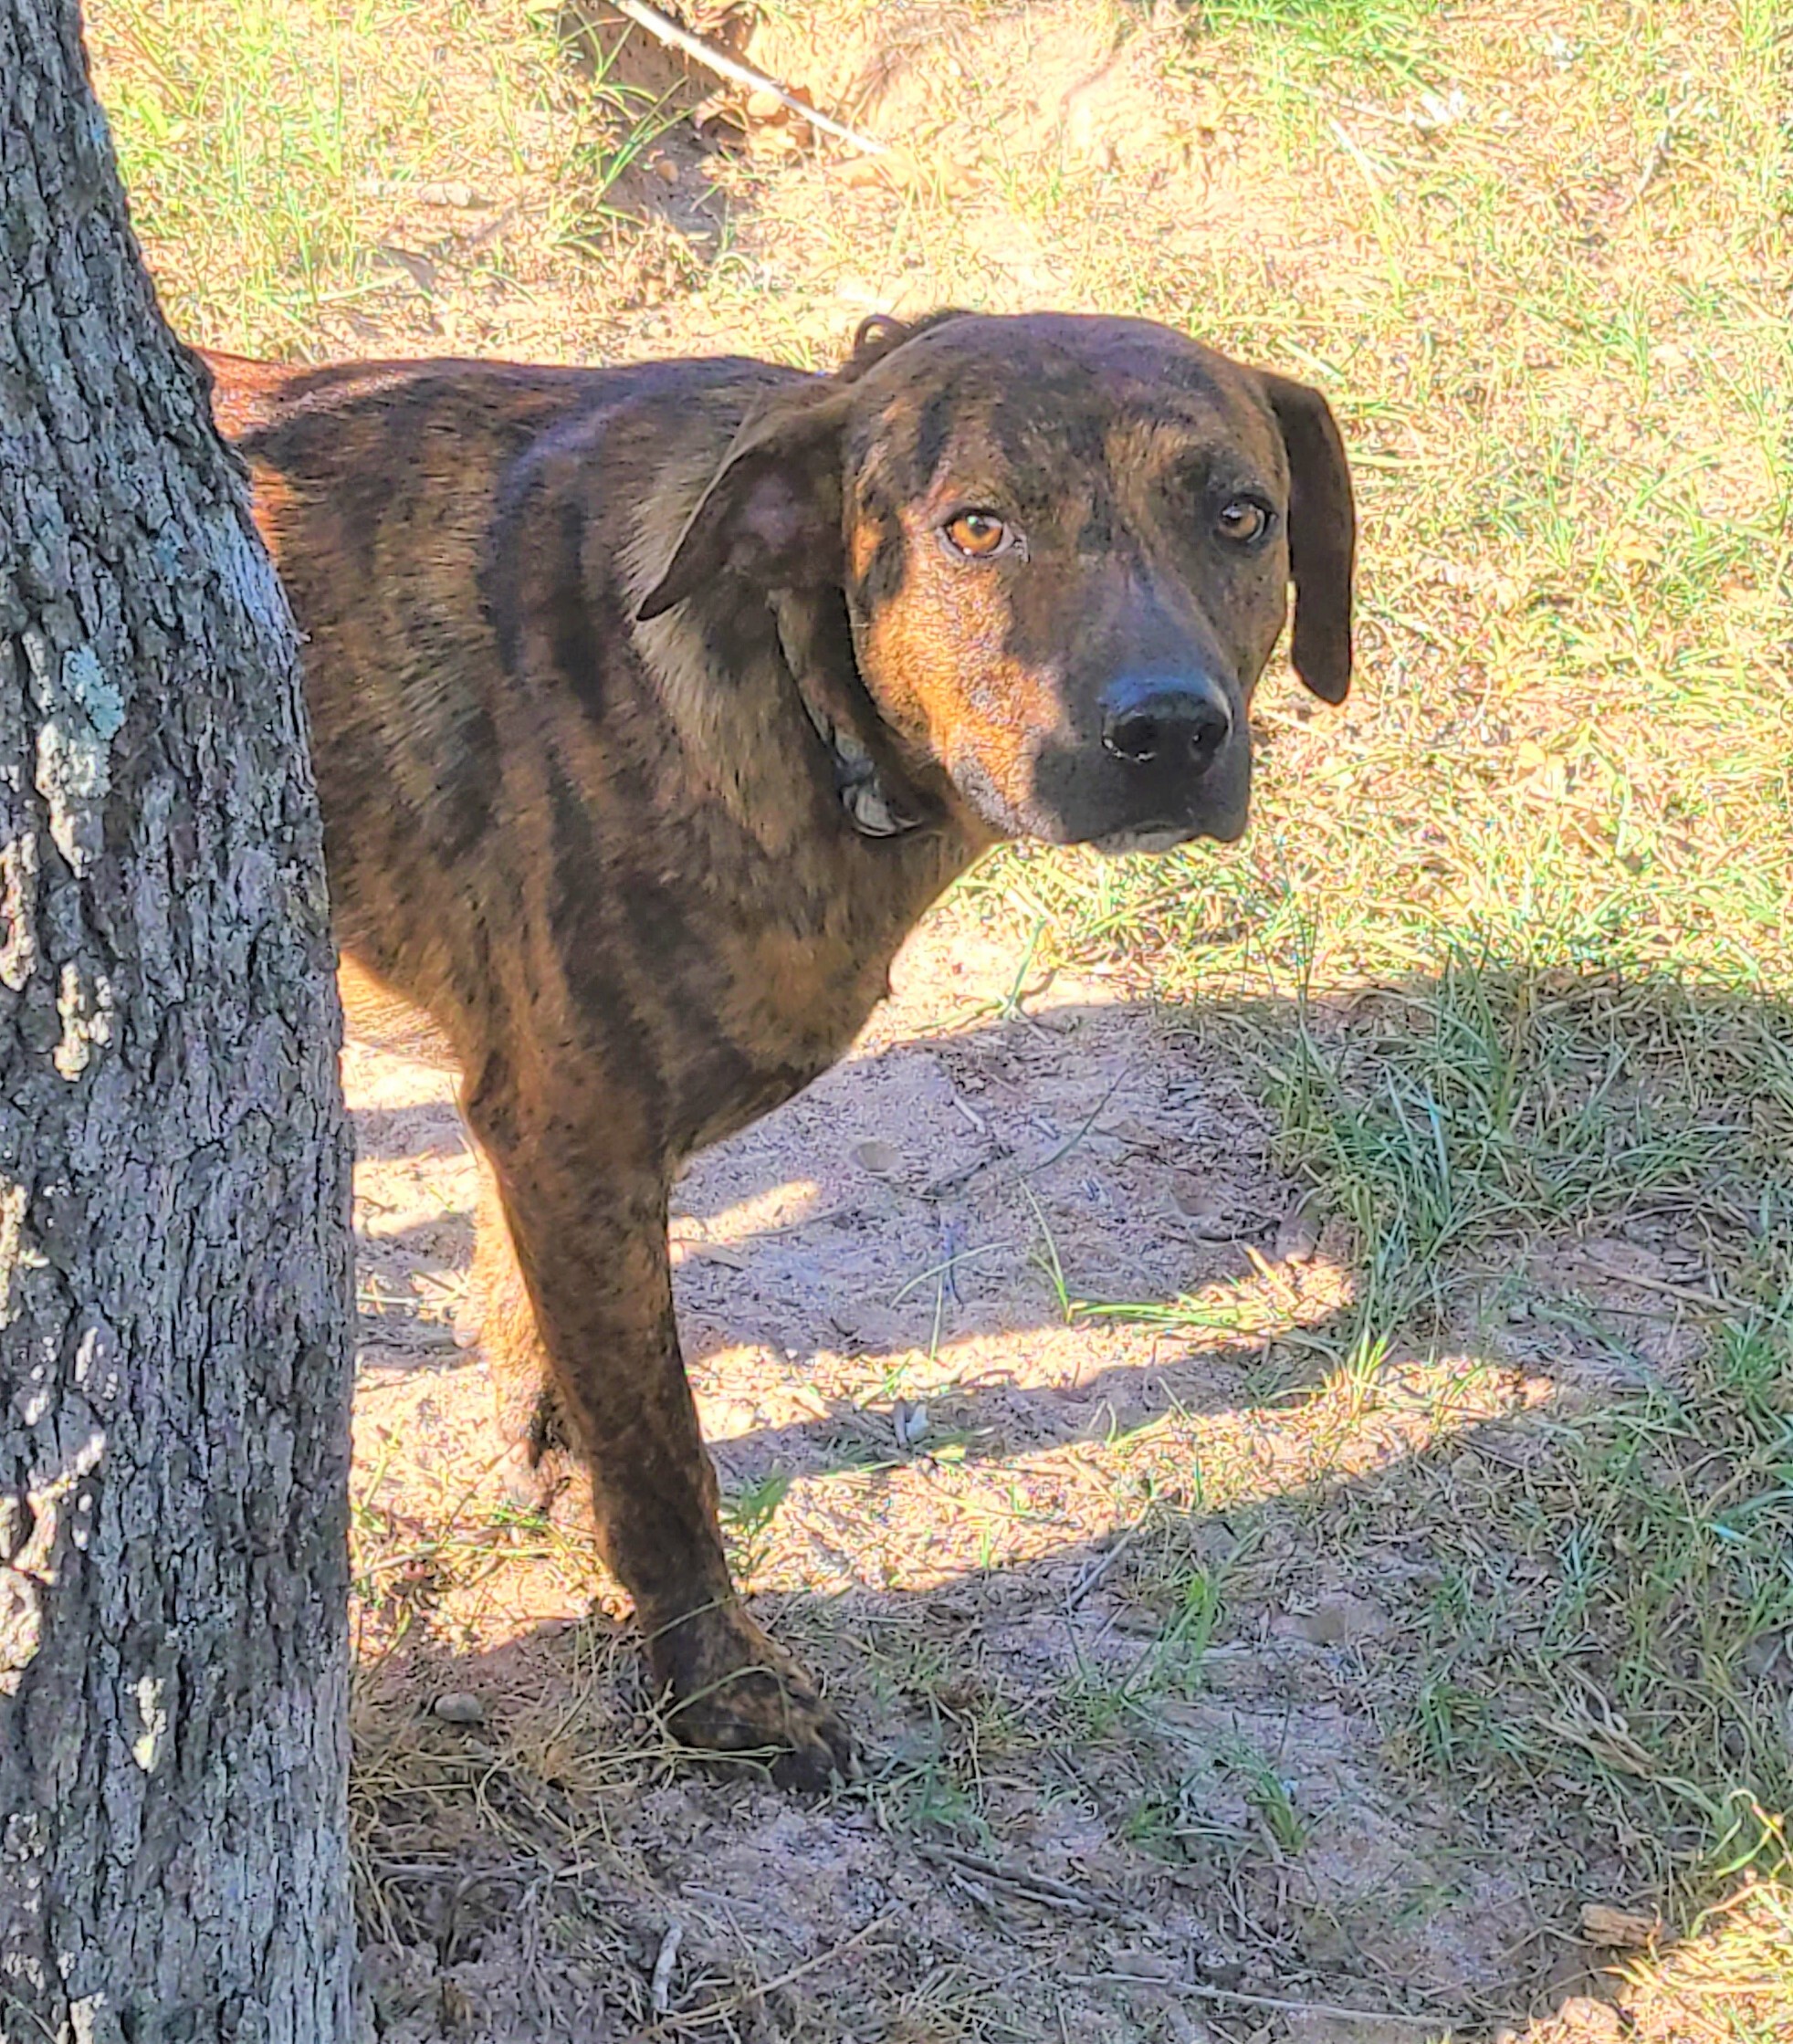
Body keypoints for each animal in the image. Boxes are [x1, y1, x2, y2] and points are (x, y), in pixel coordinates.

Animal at [202, 306, 1349, 1790]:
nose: (1167, 730)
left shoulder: (534, 1130)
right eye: (975, 527)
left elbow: (538, 1315)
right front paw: (719, 1683)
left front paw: (541, 1429)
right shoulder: (577, 1136)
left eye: (1239, 515)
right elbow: (662, 1453)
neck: (791, 680)